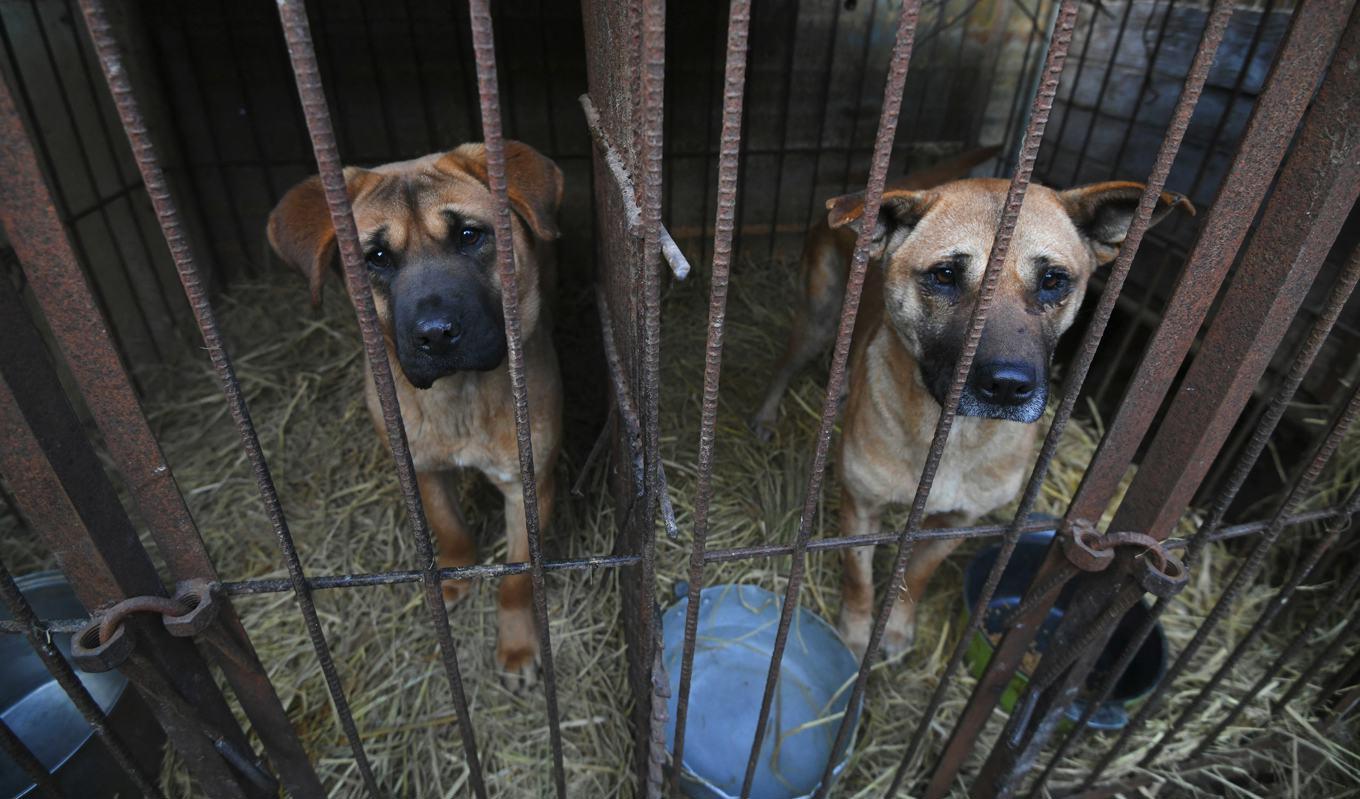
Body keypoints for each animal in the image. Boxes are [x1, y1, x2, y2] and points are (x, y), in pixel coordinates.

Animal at [267, 141, 565, 679]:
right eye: (377, 258)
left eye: (470, 235)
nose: (436, 334)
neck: (459, 396)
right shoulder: (421, 471)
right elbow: (450, 530)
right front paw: (452, 578)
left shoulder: (528, 487)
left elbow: (517, 579)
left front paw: (517, 643)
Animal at [756, 156, 1191, 654]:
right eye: (944, 275)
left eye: (1052, 280)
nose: (1005, 387)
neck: (953, 437)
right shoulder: (861, 509)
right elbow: (858, 578)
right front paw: (854, 634)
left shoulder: (958, 523)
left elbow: (916, 574)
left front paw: (896, 627)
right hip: (818, 318)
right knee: (783, 366)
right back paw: (766, 416)